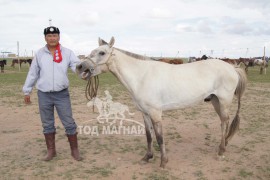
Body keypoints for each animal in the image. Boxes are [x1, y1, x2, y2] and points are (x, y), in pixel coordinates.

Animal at [76, 37, 247, 168]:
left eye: (102, 52)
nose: (80, 66)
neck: (142, 76)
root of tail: (232, 67)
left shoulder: (156, 113)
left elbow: (159, 137)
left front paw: (163, 162)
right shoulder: (145, 113)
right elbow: (148, 136)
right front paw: (147, 157)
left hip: (223, 101)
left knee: (225, 122)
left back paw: (221, 151)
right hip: (215, 101)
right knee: (223, 122)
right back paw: (222, 146)